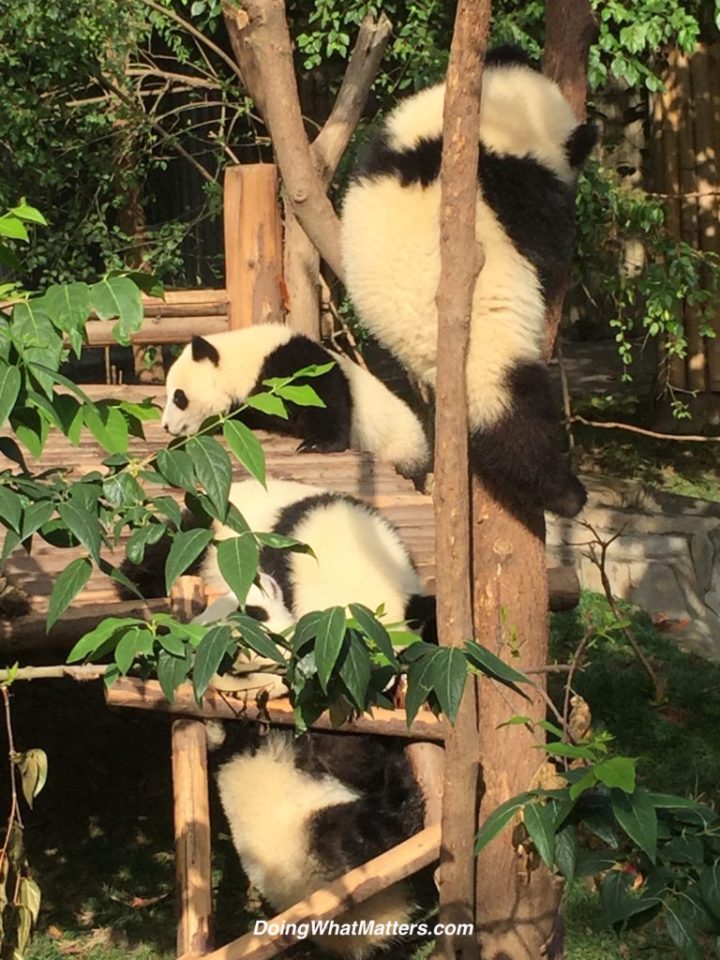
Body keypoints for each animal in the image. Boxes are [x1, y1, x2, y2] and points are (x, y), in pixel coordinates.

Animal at [161, 324, 429, 479]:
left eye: (179, 397)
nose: (165, 426)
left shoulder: (292, 365)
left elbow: (325, 398)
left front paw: (317, 444)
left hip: (401, 447)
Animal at [341, 45, 597, 518]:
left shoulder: (391, 134)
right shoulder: (520, 192)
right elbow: (547, 243)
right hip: (486, 355)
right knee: (513, 422)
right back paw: (565, 493)